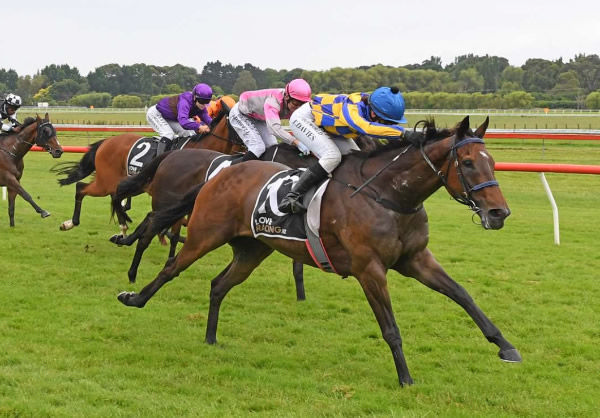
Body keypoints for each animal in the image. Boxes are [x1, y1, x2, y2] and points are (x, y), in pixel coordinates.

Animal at [116, 116, 520, 386]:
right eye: (467, 163)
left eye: (492, 162)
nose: (498, 213)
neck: (389, 196)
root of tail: (221, 173)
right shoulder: (369, 268)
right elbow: (390, 327)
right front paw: (405, 378)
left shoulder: (416, 259)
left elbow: (463, 295)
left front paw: (505, 346)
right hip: (204, 234)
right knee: (171, 268)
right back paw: (133, 297)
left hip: (252, 250)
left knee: (218, 285)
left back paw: (211, 338)